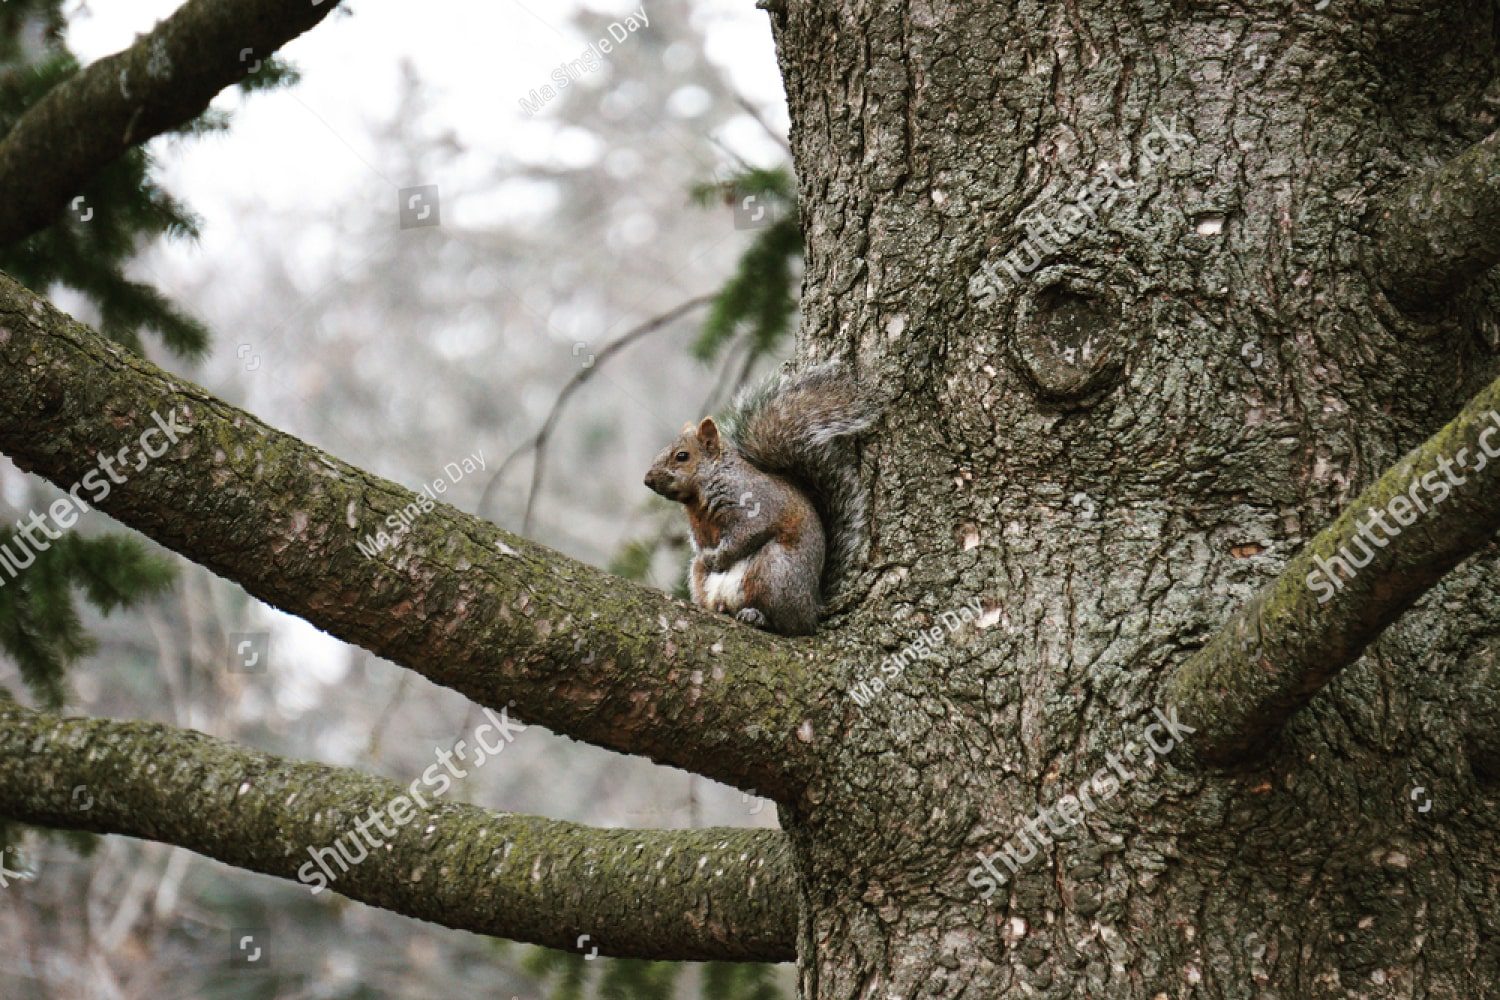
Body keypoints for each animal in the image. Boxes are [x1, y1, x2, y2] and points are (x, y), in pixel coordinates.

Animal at [643, 361, 877, 636]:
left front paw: (717, 558)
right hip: (703, 578)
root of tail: (813, 606)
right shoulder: (700, 527)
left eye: (682, 456)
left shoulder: (755, 505)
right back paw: (719, 606)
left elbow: (745, 535)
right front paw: (708, 556)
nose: (647, 480)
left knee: (789, 625)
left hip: (773, 571)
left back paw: (757, 616)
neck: (698, 497)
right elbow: (701, 545)